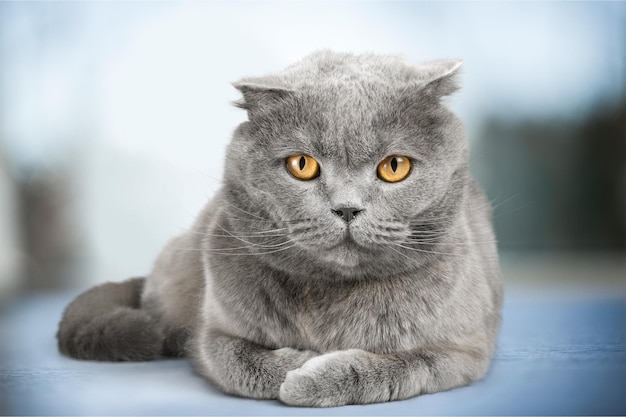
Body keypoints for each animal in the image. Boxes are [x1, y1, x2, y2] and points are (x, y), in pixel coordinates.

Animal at [56, 50, 500, 404]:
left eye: (395, 166)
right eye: (302, 164)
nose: (347, 209)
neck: (330, 295)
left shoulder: (465, 350)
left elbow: (403, 366)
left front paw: (315, 378)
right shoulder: (211, 333)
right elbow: (235, 360)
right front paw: (298, 365)